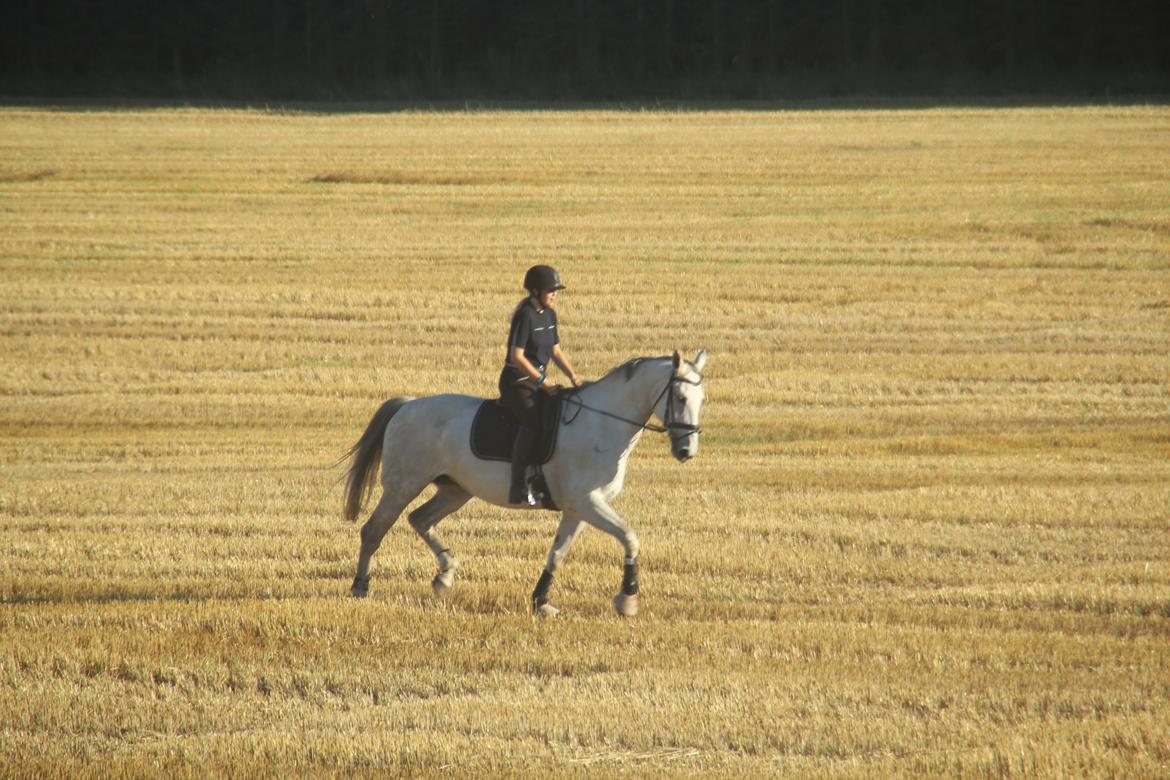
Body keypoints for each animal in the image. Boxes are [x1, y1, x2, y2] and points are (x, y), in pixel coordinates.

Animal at [341, 353, 706, 617]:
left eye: (702, 399)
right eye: (680, 396)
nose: (686, 451)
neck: (603, 423)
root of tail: (408, 405)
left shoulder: (577, 509)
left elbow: (557, 554)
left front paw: (541, 601)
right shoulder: (588, 503)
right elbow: (630, 537)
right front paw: (627, 599)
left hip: (456, 490)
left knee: (420, 519)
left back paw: (445, 574)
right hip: (403, 485)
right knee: (374, 529)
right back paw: (360, 586)